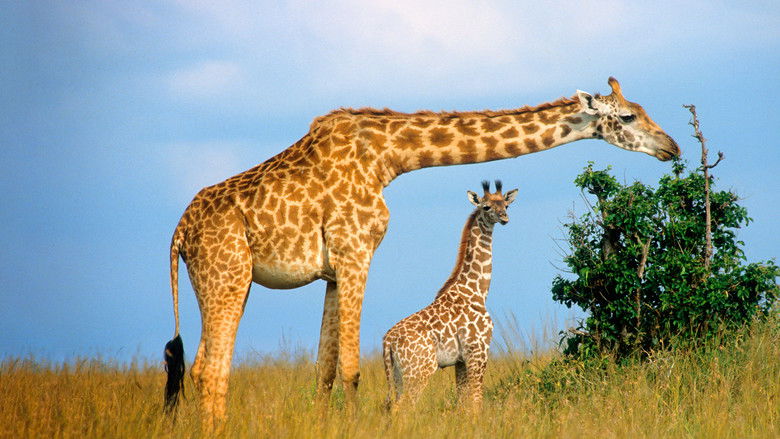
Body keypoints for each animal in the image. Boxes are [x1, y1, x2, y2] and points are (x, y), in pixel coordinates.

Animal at [383, 180, 517, 411]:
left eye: (506, 205)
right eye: (486, 207)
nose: (504, 217)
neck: (477, 292)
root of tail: (387, 342)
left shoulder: (461, 360)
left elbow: (463, 402)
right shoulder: (478, 351)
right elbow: (476, 401)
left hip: (397, 375)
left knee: (392, 406)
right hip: (420, 371)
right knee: (404, 407)